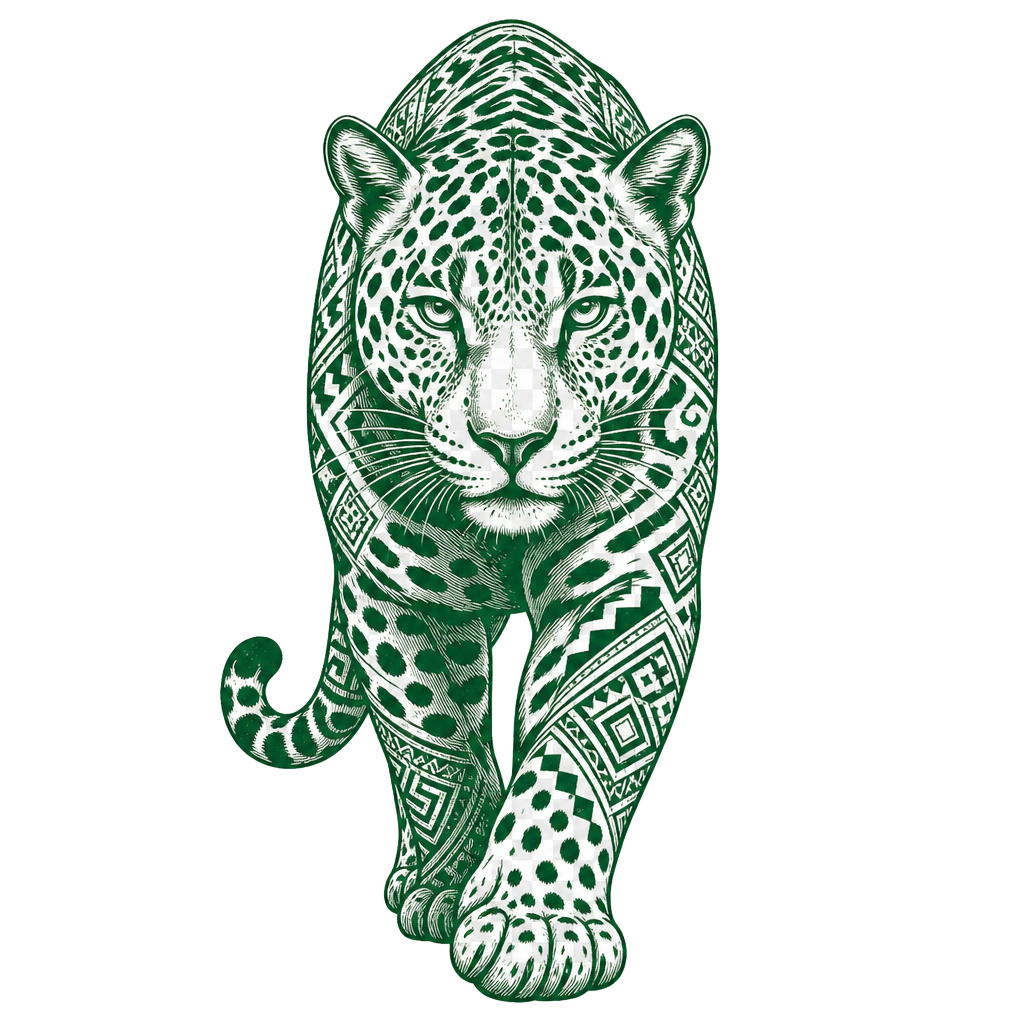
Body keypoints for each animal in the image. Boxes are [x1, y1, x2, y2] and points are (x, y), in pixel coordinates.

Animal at [219, 20, 718, 1002]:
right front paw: (449, 883)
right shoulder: (396, 584)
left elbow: (573, 747)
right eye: (435, 311)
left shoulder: (634, 579)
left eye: (587, 312)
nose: (512, 442)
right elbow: (435, 730)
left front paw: (539, 923)